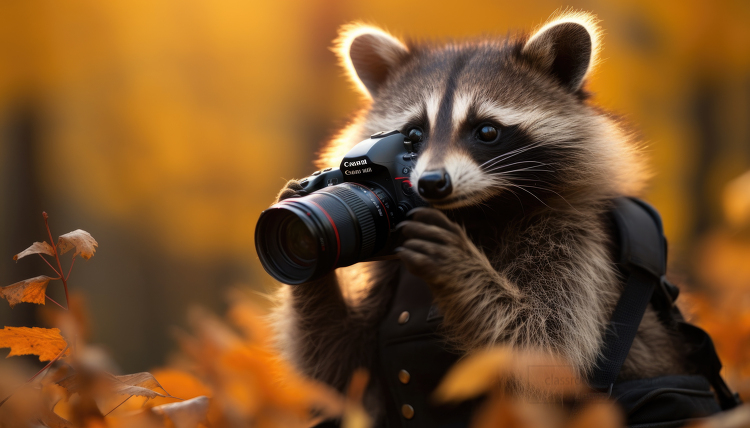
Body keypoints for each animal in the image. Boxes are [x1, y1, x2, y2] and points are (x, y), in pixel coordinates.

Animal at [274, 11, 688, 422]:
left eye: (487, 130)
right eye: (412, 135)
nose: (431, 183)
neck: (474, 214)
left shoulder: (578, 242)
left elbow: (546, 350)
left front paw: (458, 266)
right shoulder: (383, 269)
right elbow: (340, 375)